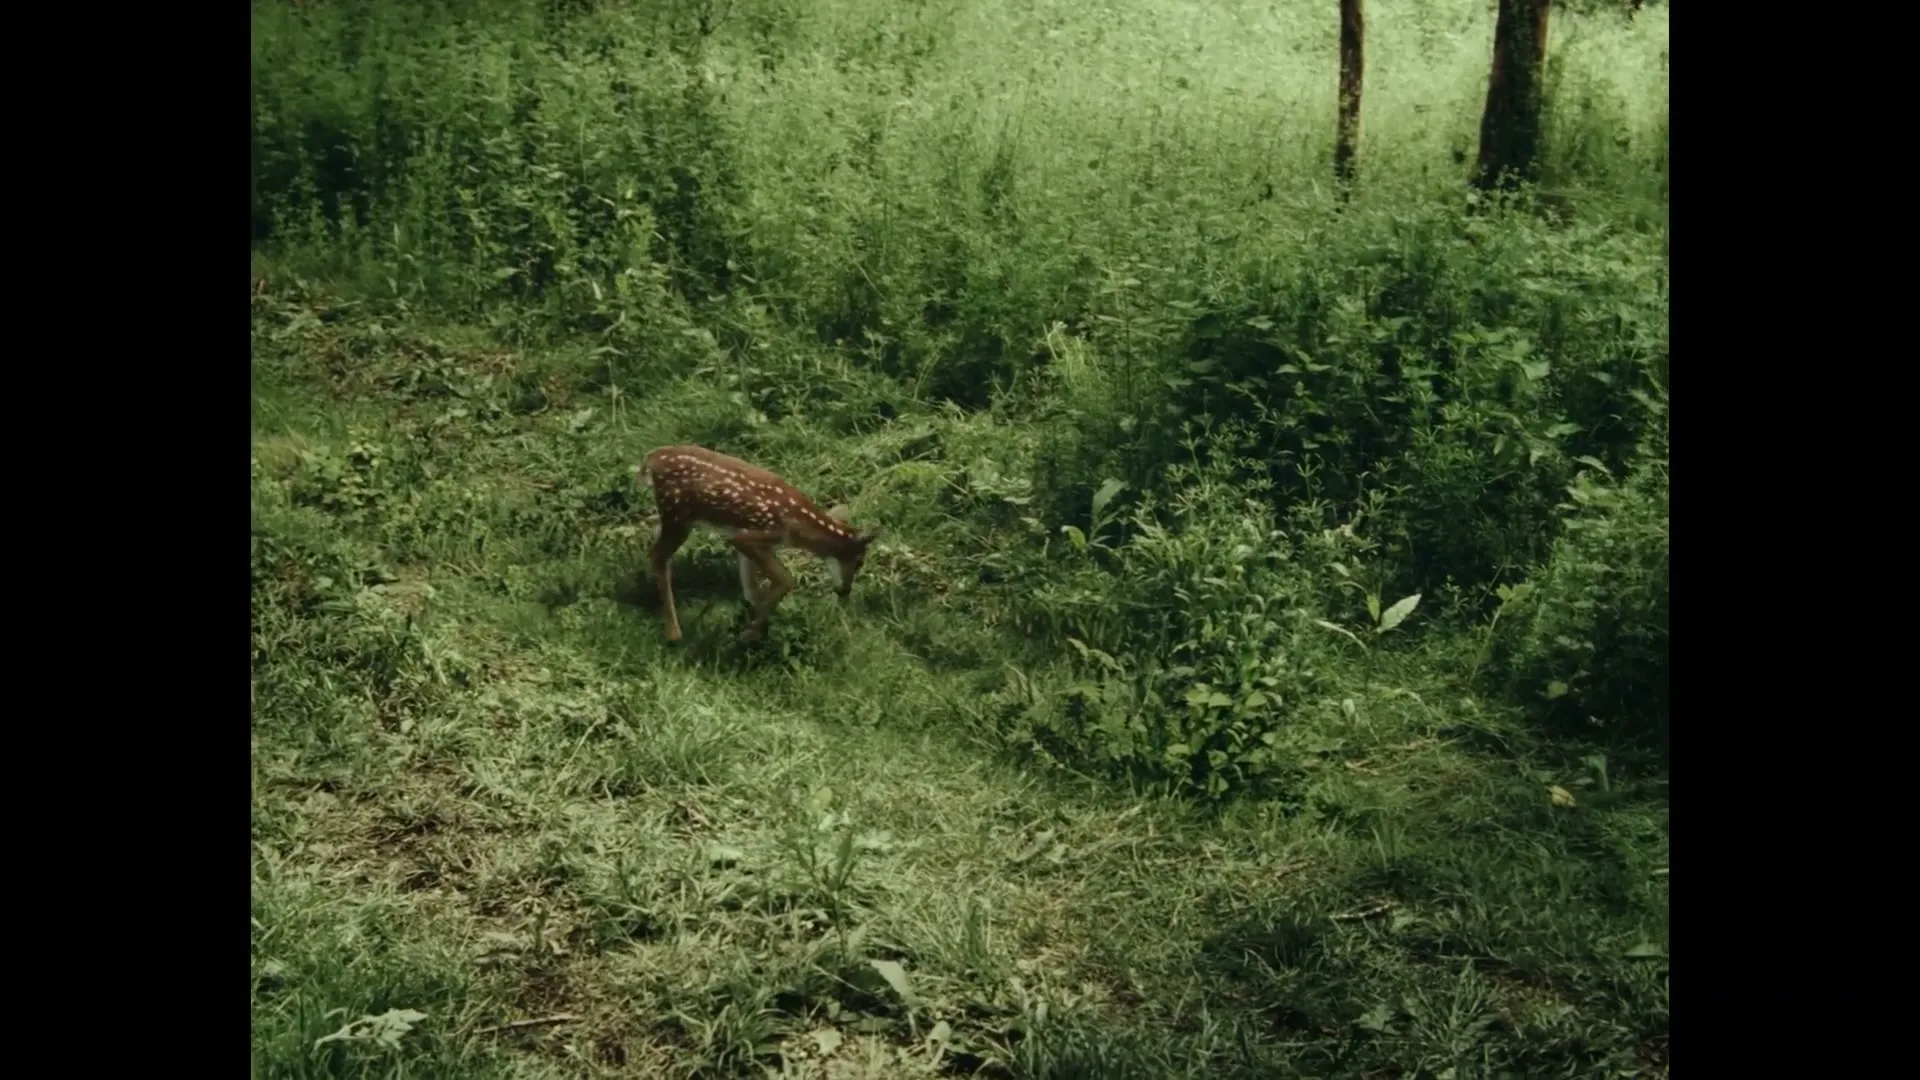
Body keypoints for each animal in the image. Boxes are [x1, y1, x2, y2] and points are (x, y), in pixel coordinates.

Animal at [637, 445, 881, 643]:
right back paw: (674, 634)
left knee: (652, 530)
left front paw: (753, 624)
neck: (799, 526)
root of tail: (651, 459)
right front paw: (751, 632)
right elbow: (786, 580)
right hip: (678, 515)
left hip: (672, 515)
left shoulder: (744, 538)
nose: (844, 591)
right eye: (860, 561)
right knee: (657, 555)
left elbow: (750, 586)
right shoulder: (757, 534)